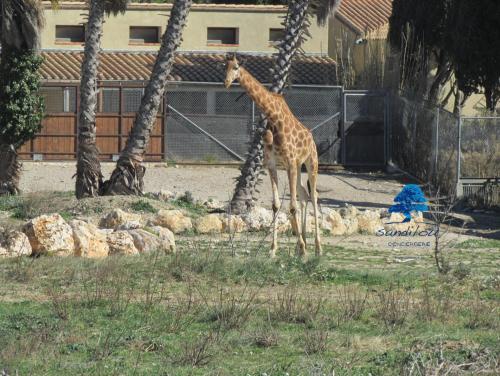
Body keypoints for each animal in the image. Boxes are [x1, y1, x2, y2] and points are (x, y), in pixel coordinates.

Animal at [226, 54, 322, 258]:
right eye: (225, 67)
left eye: (236, 67)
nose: (227, 82)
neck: (274, 118)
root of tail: (311, 138)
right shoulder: (272, 164)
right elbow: (276, 205)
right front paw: (273, 249)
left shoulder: (290, 162)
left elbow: (291, 206)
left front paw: (303, 248)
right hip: (298, 166)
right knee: (304, 194)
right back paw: (301, 245)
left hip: (311, 162)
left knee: (314, 195)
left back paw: (317, 248)